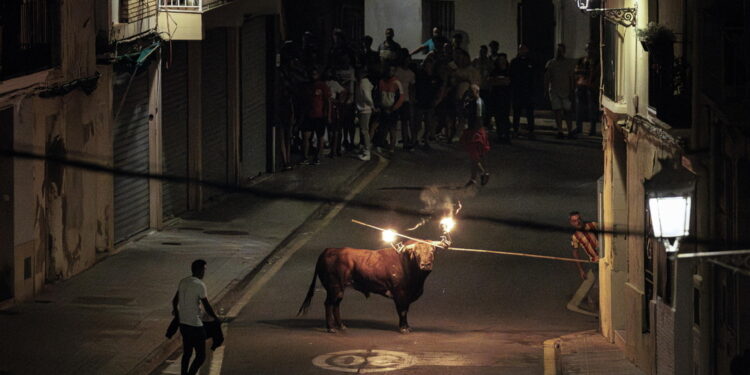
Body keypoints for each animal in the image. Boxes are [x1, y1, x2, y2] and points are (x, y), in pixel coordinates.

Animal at [300, 244, 438, 334]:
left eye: (432, 253)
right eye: (417, 253)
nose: (425, 265)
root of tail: (328, 250)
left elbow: (405, 311)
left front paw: (407, 327)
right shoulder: (400, 294)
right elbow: (403, 311)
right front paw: (403, 329)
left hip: (339, 290)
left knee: (336, 305)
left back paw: (341, 326)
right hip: (334, 287)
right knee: (328, 304)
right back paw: (331, 328)